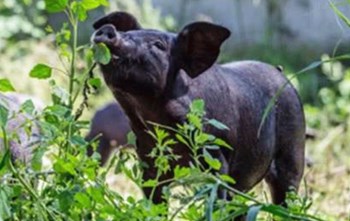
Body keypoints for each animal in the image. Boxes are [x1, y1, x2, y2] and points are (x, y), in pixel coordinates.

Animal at [91, 12, 304, 205]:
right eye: (128, 33)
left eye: (159, 45)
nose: (109, 29)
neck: (152, 117)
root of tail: (280, 72)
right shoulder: (149, 158)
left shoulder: (215, 154)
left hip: (293, 147)